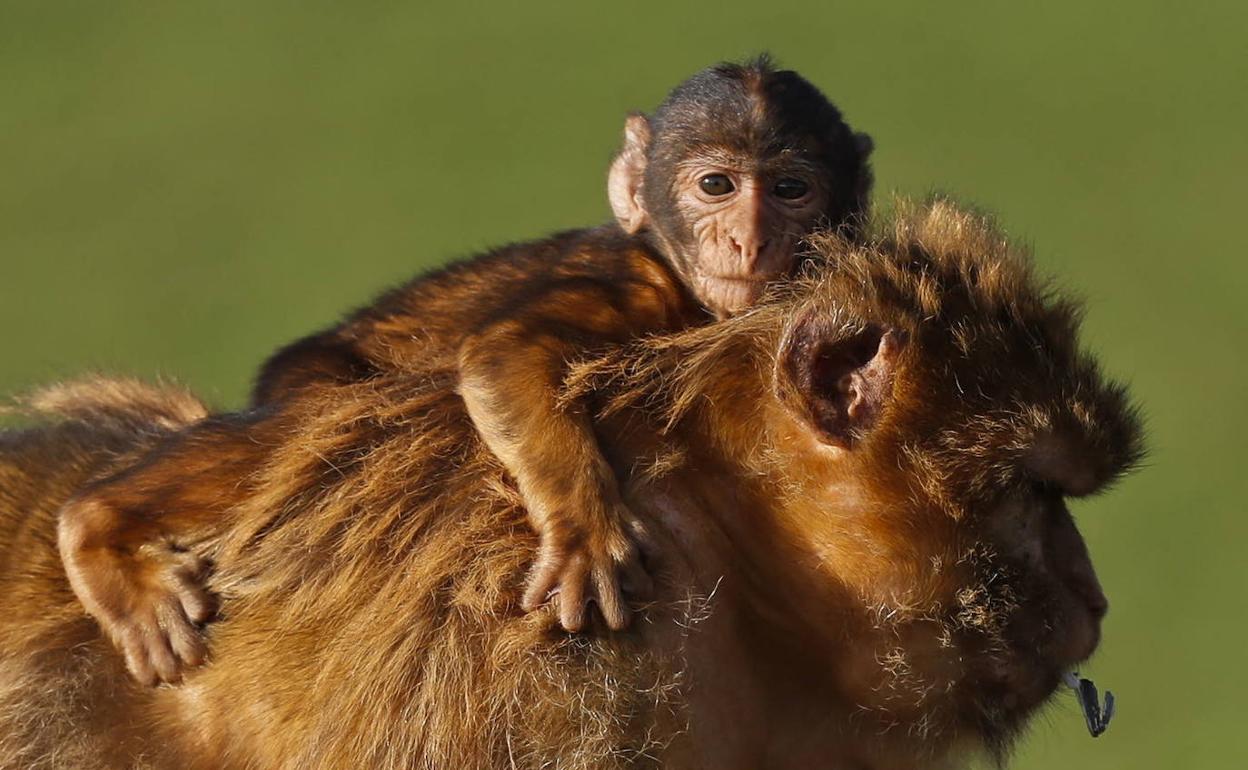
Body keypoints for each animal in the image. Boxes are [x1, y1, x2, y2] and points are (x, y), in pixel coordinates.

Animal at [53, 55, 873, 683]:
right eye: (716, 187)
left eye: (790, 190)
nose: (749, 239)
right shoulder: (634, 286)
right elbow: (503, 351)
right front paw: (583, 528)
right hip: (313, 376)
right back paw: (97, 526)